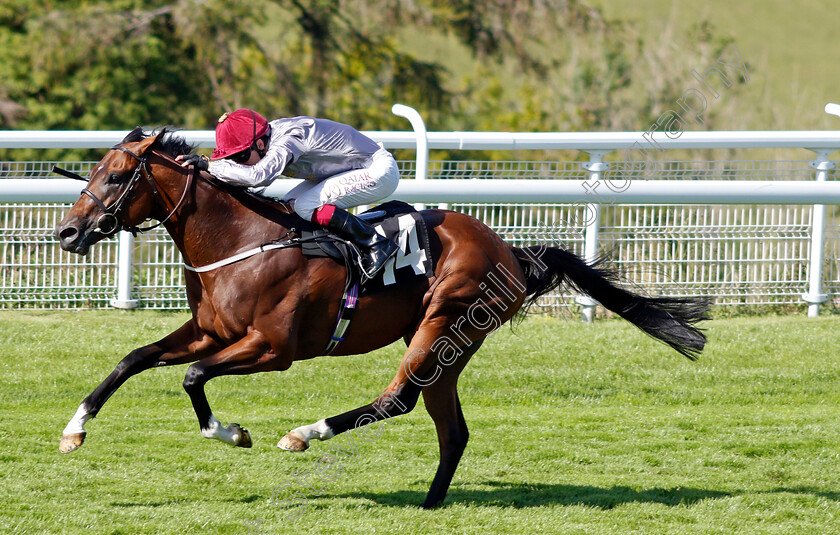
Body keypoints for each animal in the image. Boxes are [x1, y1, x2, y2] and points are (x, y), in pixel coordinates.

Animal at [54, 127, 708, 508]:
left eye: (117, 176)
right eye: (93, 172)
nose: (67, 232)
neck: (241, 238)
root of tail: (511, 251)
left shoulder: (271, 348)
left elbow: (193, 378)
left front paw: (234, 432)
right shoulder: (211, 332)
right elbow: (133, 358)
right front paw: (75, 429)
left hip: (444, 323)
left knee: (398, 398)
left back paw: (306, 433)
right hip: (447, 344)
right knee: (449, 426)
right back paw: (431, 501)